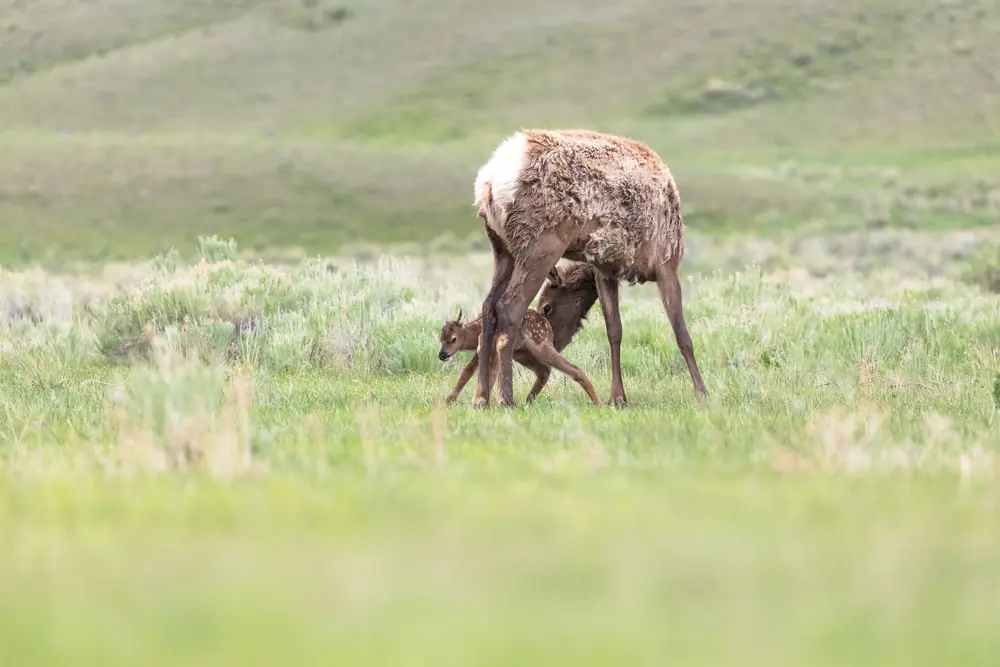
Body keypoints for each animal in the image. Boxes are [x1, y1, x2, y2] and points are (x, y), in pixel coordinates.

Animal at [437, 262, 601, 406]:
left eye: (453, 339)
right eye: (441, 338)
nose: (442, 355)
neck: (476, 330)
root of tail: (547, 326)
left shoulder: (489, 346)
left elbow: (488, 371)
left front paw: (482, 402)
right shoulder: (482, 349)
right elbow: (467, 371)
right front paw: (448, 401)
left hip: (539, 346)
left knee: (572, 369)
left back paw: (598, 403)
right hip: (522, 353)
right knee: (544, 370)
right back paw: (528, 401)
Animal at [471, 128, 708, 408]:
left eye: (547, 307)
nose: (552, 345)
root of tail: (488, 182)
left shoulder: (604, 269)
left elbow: (614, 330)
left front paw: (618, 396)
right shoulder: (666, 262)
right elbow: (682, 333)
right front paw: (702, 392)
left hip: (502, 250)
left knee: (488, 306)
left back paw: (481, 395)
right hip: (539, 247)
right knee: (508, 308)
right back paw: (505, 396)